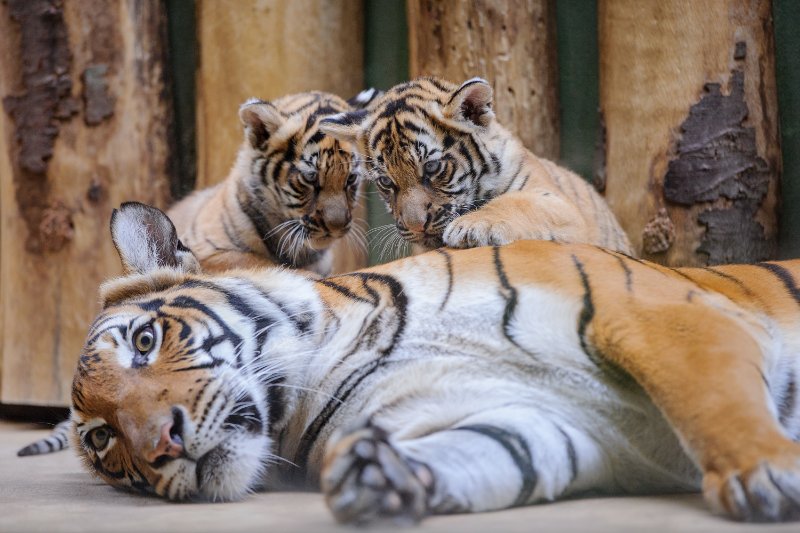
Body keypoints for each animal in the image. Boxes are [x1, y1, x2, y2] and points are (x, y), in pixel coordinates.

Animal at [70, 202, 800, 520]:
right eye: (104, 440)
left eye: (143, 341)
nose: (161, 445)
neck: (330, 365)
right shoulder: (551, 422)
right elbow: (489, 452)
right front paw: (382, 477)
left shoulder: (650, 312)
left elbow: (714, 402)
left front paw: (765, 473)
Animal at [318, 76, 632, 256]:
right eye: (385, 181)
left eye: (432, 168)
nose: (416, 226)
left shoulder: (559, 203)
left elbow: (517, 202)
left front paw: (472, 226)